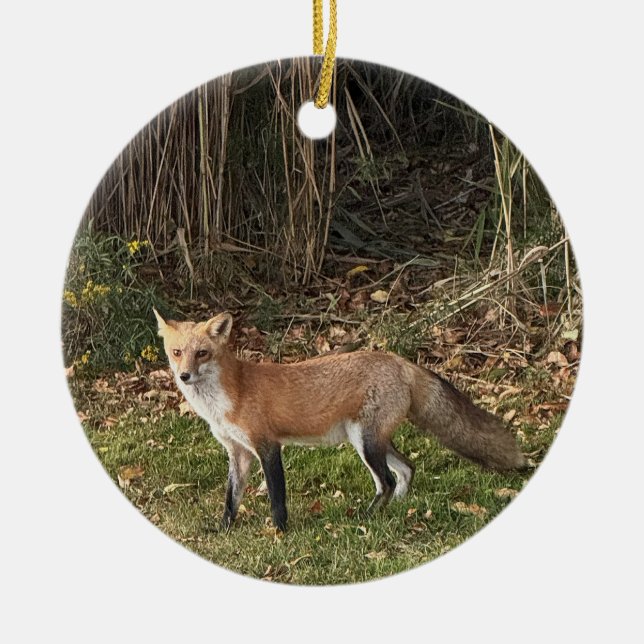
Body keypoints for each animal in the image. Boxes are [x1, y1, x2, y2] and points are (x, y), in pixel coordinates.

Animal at [153, 308, 526, 532]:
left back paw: (366, 517)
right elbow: (231, 499)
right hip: (370, 440)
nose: (184, 375)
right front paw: (223, 529)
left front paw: (280, 532)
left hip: (365, 441)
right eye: (176, 353)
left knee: (386, 480)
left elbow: (277, 497)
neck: (231, 394)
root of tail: (399, 360)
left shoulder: (268, 446)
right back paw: (396, 509)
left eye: (202, 353)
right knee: (407, 469)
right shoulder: (238, 452)